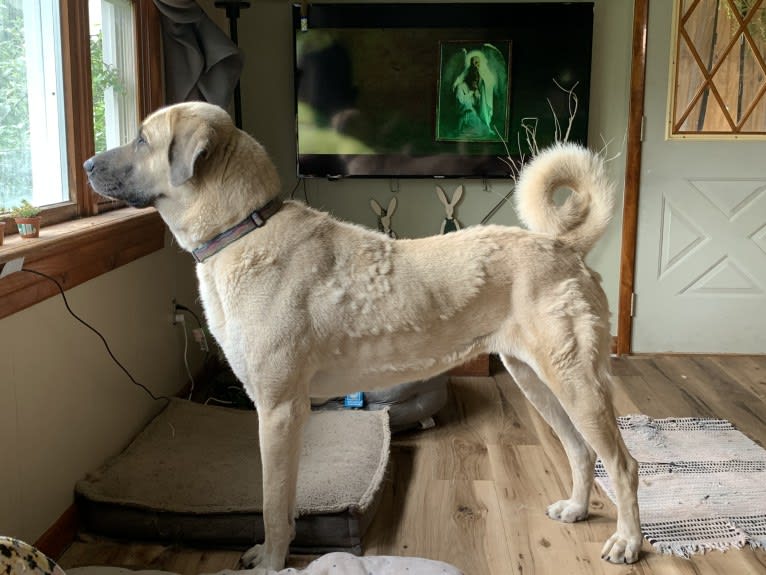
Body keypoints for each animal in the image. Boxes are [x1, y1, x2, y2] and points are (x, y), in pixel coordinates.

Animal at [85, 102, 640, 572]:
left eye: (142, 139)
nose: (88, 164)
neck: (242, 228)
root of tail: (563, 244)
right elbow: (282, 500)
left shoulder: (278, 409)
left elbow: (271, 503)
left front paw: (271, 563)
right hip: (535, 379)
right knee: (581, 450)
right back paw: (576, 508)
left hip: (575, 382)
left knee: (624, 463)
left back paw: (628, 542)